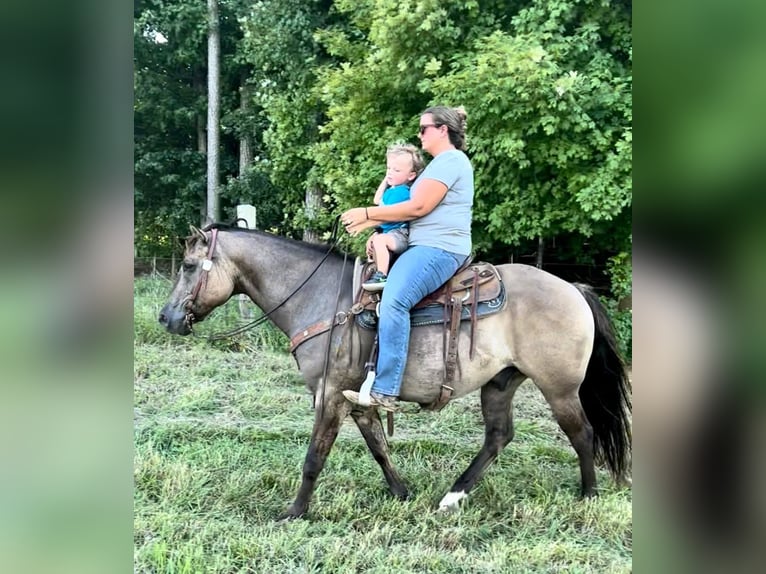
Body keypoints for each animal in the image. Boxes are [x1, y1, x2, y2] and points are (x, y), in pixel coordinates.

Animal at [159, 225, 632, 520]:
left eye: (188, 266)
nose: (166, 317)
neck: (321, 299)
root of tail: (574, 289)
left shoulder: (329, 393)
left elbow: (315, 456)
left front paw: (294, 512)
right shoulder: (356, 398)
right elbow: (378, 447)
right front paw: (401, 492)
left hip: (560, 388)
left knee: (582, 433)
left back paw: (588, 495)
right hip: (500, 383)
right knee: (499, 436)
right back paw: (452, 496)